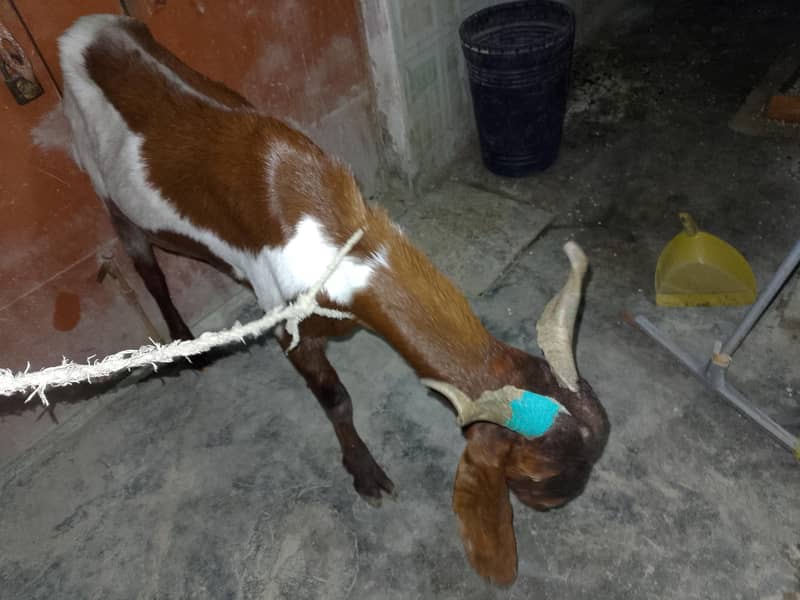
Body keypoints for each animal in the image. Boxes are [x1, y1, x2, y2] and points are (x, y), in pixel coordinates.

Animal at [53, 14, 609, 584]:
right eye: (538, 475)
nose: (554, 506)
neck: (339, 233)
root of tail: (88, 27)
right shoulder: (288, 323)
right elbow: (335, 398)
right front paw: (366, 476)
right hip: (105, 188)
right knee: (147, 268)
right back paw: (187, 346)